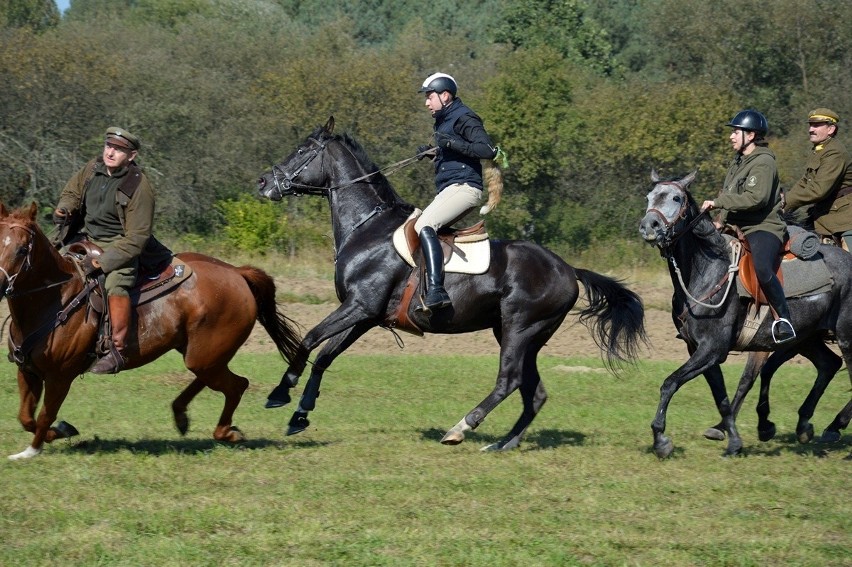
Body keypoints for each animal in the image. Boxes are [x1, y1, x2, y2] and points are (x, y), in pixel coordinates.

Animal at [0, 202, 302, 460]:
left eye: (22, 250)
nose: (0, 284)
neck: (56, 300)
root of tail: (238, 273)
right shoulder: (27, 371)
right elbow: (26, 416)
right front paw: (59, 432)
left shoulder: (60, 377)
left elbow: (44, 416)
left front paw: (33, 450)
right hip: (201, 354)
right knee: (216, 379)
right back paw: (181, 415)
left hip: (205, 356)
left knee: (237, 385)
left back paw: (226, 432)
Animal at [256, 117, 644, 450]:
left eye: (303, 150)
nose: (262, 183)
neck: (368, 228)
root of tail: (567, 269)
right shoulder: (366, 315)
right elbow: (325, 355)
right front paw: (300, 414)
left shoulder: (359, 306)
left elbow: (309, 339)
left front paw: (280, 393)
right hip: (523, 334)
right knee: (534, 391)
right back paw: (503, 443)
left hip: (520, 328)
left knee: (509, 380)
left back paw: (460, 428)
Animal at [640, 171, 852, 460]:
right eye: (649, 197)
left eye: (676, 198)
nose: (648, 226)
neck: (708, 272)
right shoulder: (701, 350)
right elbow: (722, 398)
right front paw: (733, 440)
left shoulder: (712, 349)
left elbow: (670, 383)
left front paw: (661, 439)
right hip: (808, 338)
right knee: (829, 364)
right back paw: (806, 425)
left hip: (844, 336)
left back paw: (834, 426)